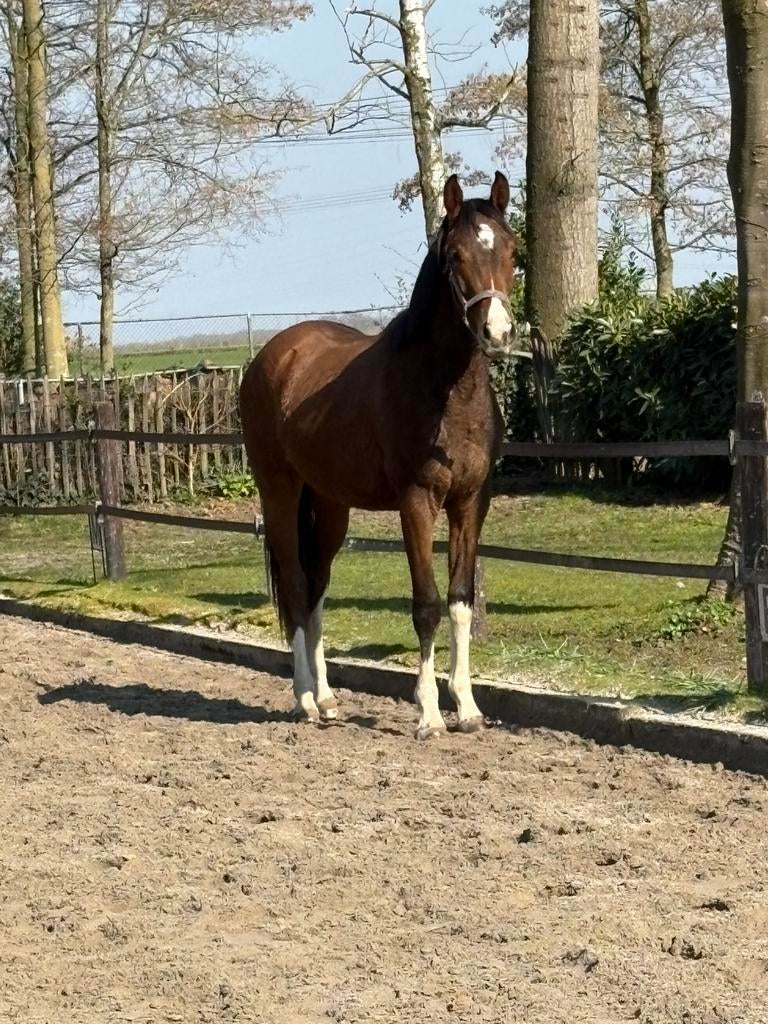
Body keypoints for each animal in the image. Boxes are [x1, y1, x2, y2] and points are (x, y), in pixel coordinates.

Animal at [239, 171, 520, 739]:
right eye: (455, 256)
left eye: (512, 249)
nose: (499, 334)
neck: (443, 389)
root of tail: (272, 357)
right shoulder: (416, 502)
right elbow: (426, 604)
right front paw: (429, 715)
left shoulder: (470, 502)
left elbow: (459, 600)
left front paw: (467, 708)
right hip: (279, 492)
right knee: (297, 586)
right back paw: (304, 700)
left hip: (330, 505)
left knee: (318, 588)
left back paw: (327, 700)